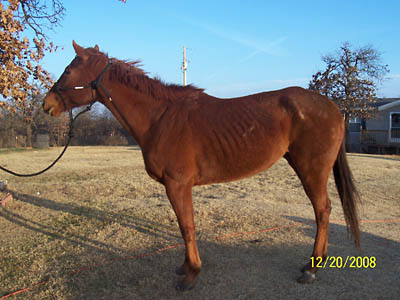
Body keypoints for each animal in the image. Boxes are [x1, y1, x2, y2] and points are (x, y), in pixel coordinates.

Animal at [43, 42, 360, 290]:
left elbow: (187, 227)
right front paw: (186, 267)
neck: (161, 118)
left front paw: (191, 274)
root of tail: (333, 107)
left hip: (311, 170)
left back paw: (312, 268)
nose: (47, 104)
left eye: (68, 70)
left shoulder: (178, 184)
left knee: (323, 211)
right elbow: (184, 225)